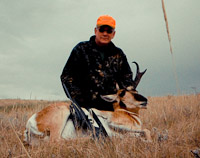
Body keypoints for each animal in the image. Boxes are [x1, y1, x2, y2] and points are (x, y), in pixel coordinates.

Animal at [23, 61, 151, 144]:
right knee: (56, 140)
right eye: (122, 93)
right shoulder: (116, 123)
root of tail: (32, 120)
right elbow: (146, 131)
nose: (144, 100)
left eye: (135, 90)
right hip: (62, 116)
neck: (127, 114)